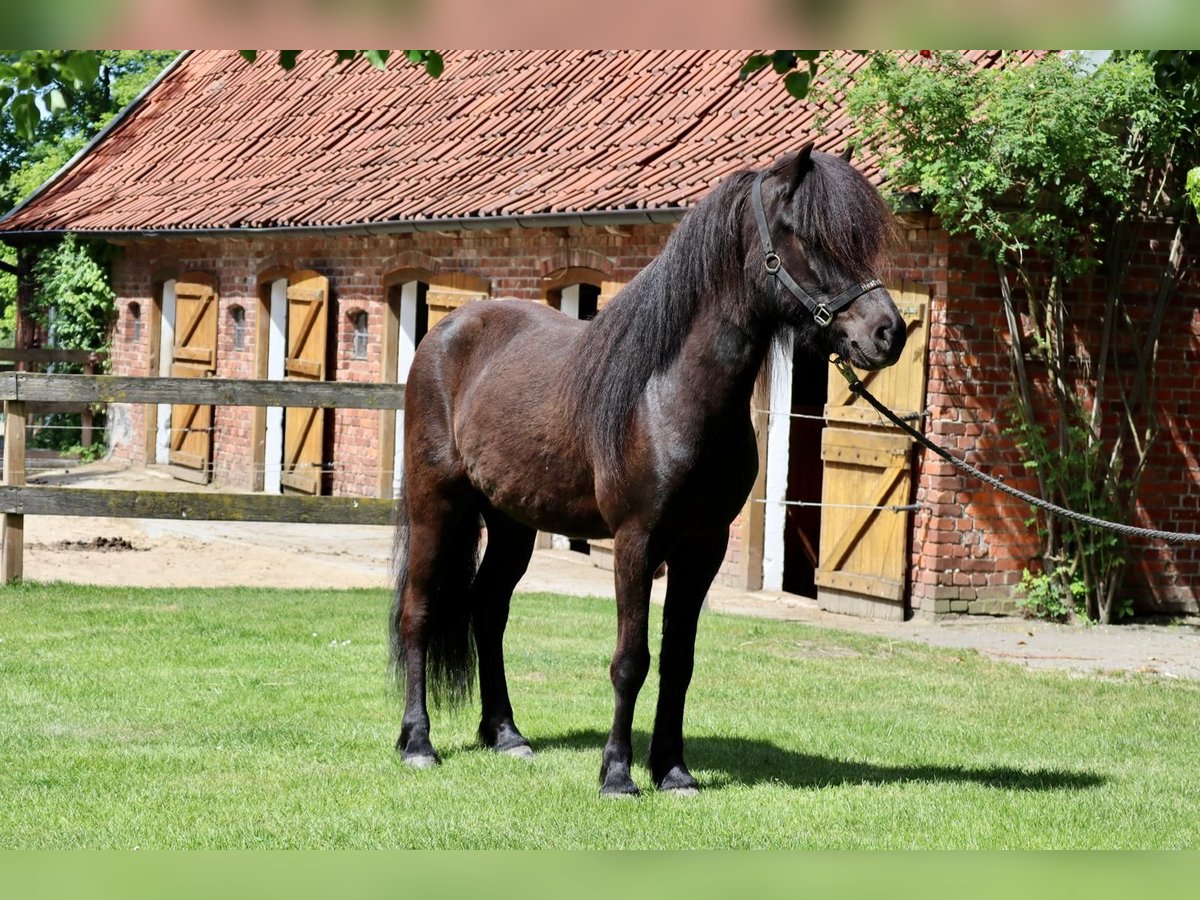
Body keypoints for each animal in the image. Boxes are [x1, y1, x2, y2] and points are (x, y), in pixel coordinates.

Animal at [388, 144, 902, 801]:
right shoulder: (635, 543)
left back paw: (506, 735)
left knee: (488, 608)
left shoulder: (702, 548)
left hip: (512, 522)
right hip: (439, 503)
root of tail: (446, 333)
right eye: (807, 236)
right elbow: (631, 660)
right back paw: (418, 744)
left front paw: (674, 771)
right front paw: (617, 774)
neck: (668, 395)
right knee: (419, 612)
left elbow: (679, 660)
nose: (889, 331)